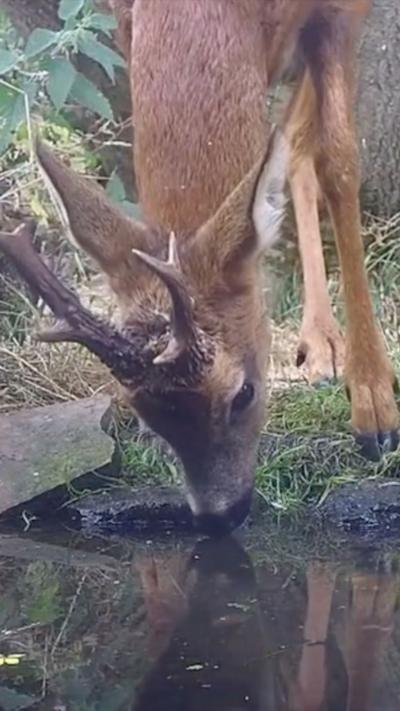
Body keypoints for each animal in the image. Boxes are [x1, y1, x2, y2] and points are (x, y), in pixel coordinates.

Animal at [0, 0, 398, 533]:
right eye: (142, 411)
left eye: (244, 394)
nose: (218, 517)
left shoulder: (340, 13)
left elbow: (339, 160)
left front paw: (375, 405)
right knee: (291, 138)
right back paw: (318, 345)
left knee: (300, 137)